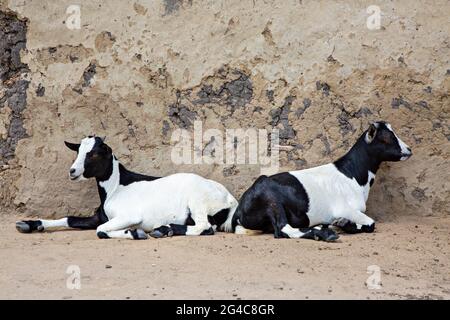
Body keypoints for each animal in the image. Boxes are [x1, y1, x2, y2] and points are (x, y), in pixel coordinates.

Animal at [15, 138, 237, 240]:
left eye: (93, 154)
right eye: (78, 151)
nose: (72, 171)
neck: (115, 188)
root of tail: (230, 200)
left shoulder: (128, 216)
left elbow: (100, 231)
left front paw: (135, 233)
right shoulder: (98, 216)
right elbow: (69, 219)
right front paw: (29, 224)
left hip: (198, 201)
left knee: (205, 227)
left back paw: (164, 229)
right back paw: (164, 229)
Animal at [230, 121, 414, 241]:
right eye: (387, 138)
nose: (408, 150)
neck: (352, 175)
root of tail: (239, 210)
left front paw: (340, 224)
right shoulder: (345, 208)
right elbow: (371, 223)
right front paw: (342, 224)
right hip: (273, 202)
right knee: (283, 229)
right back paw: (326, 234)